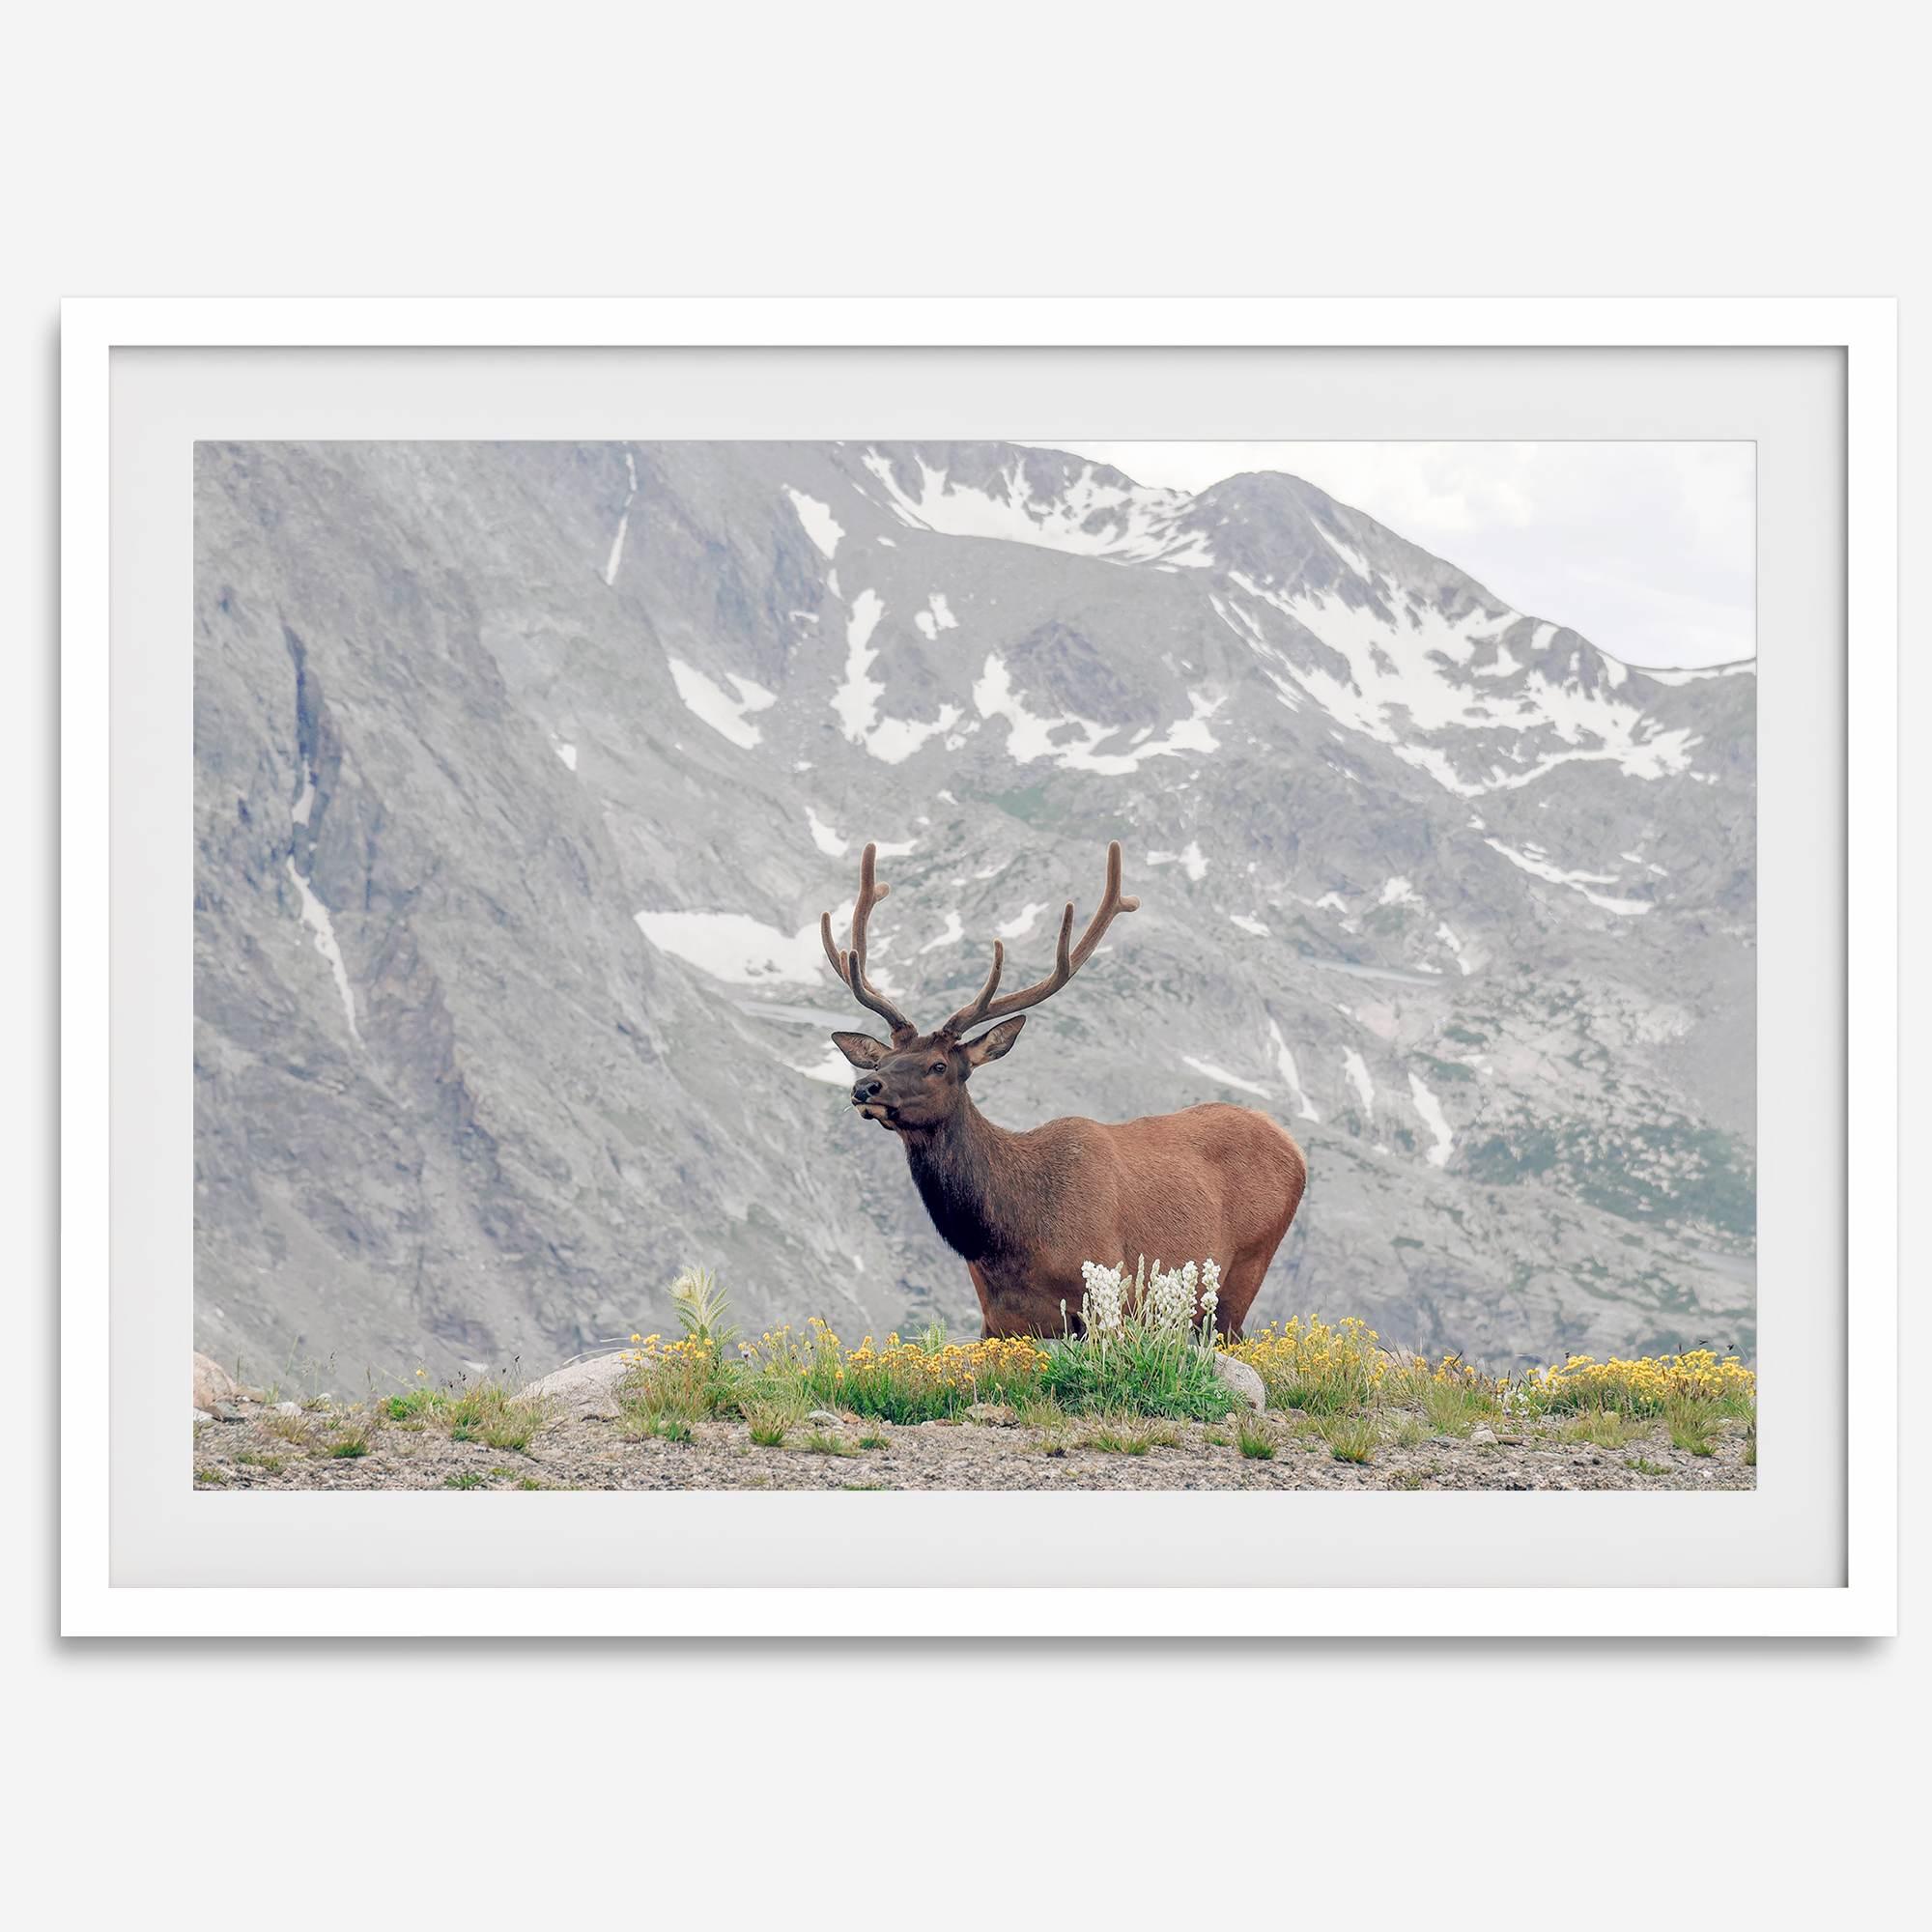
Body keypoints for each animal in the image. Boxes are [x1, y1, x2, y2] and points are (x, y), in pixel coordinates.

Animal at [822, 840, 1307, 1338]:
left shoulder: (1110, 1293)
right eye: (880, 1061)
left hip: (1245, 1270)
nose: (865, 1087)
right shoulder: (997, 1320)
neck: (1008, 1238)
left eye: (938, 1065)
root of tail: (1292, 1146)